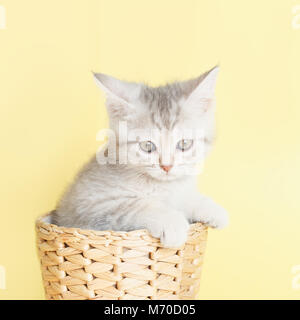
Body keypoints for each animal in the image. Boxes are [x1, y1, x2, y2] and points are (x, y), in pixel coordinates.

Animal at [52, 67, 229, 248]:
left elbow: (183, 198)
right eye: (147, 146)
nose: (167, 166)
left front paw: (210, 208)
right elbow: (134, 206)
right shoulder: (87, 205)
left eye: (184, 143)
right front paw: (171, 222)